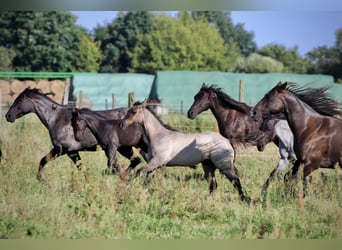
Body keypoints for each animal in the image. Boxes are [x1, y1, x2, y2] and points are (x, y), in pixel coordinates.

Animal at [5, 88, 139, 182]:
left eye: (20, 100)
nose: (8, 116)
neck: (56, 118)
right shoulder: (72, 152)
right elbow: (81, 168)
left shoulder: (61, 148)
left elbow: (43, 160)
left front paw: (41, 179)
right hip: (125, 148)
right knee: (134, 161)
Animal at [121, 100, 250, 202]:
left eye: (133, 112)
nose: (122, 124)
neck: (159, 136)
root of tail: (227, 141)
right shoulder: (154, 165)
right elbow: (146, 181)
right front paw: (141, 194)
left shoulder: (156, 162)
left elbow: (138, 172)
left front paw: (127, 187)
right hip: (208, 166)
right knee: (213, 184)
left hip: (224, 166)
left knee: (235, 181)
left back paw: (243, 199)